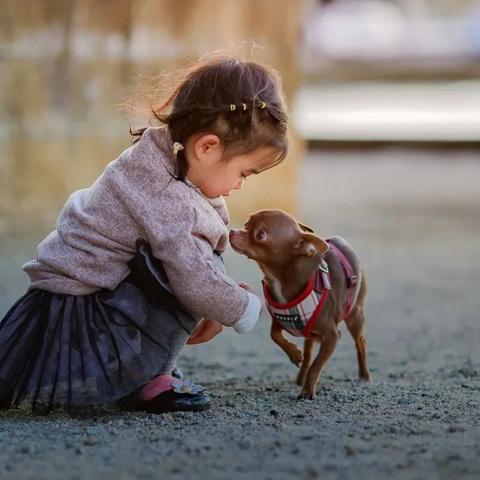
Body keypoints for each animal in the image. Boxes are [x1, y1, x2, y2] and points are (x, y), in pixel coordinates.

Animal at [229, 208, 372, 400]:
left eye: (260, 235)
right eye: (246, 224)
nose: (232, 232)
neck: (281, 278)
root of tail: (341, 242)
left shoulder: (332, 337)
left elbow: (316, 366)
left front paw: (307, 391)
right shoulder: (281, 319)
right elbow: (274, 335)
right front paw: (295, 355)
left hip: (354, 315)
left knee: (360, 342)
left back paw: (364, 375)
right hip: (311, 332)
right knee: (309, 350)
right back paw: (300, 376)